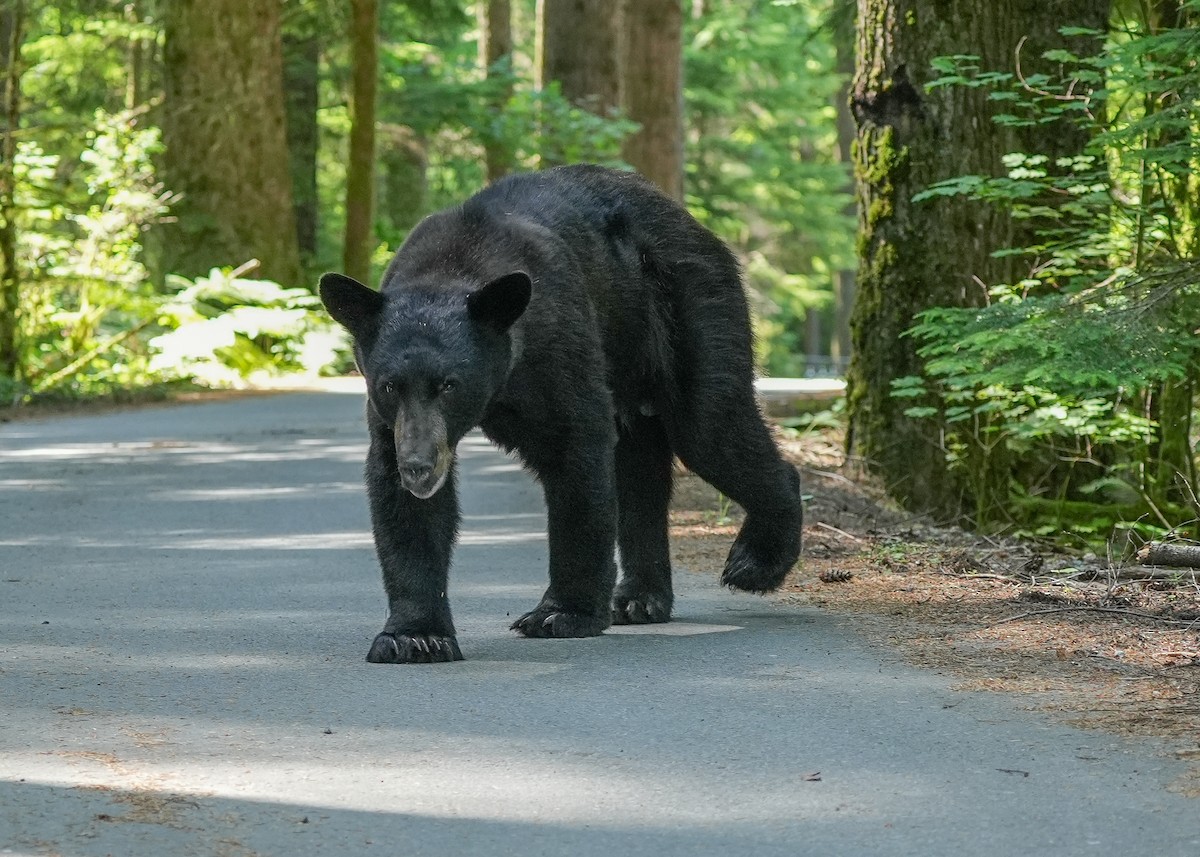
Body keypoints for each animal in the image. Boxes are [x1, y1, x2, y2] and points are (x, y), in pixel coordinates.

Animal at [319, 164, 802, 664]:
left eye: (450, 384)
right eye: (389, 385)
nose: (418, 465)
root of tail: (691, 221)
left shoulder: (557, 347)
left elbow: (577, 457)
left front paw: (562, 613)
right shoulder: (394, 423)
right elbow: (405, 509)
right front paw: (414, 635)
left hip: (686, 303)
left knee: (709, 425)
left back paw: (756, 562)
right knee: (640, 472)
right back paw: (639, 598)